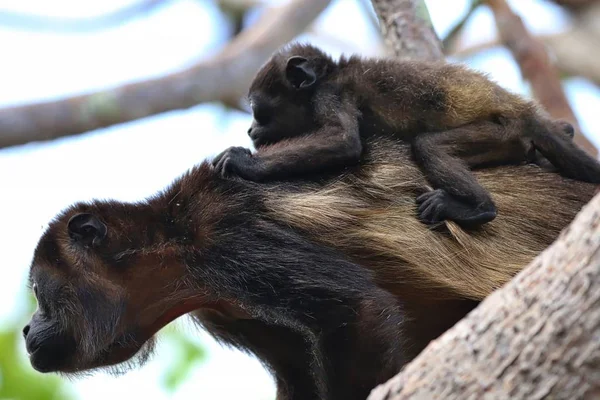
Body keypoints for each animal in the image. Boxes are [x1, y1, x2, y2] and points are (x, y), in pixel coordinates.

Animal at [24, 138, 600, 400]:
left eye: (39, 291)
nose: (27, 328)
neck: (170, 239)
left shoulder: (231, 241)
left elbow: (357, 308)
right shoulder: (225, 307)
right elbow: (298, 374)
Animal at [212, 43, 600, 228]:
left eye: (259, 110)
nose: (250, 129)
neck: (329, 76)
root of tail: (525, 111)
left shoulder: (331, 95)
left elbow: (344, 142)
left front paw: (242, 161)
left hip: (501, 131)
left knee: (428, 145)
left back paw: (479, 209)